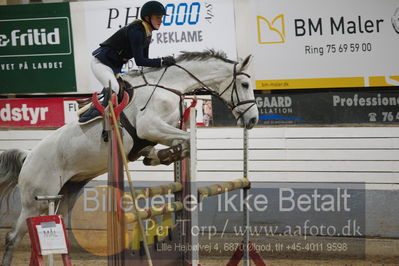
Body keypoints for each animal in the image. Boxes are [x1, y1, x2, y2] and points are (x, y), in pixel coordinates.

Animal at [0, 50, 258, 266]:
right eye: (245, 84)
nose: (253, 120)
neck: (170, 86)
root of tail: (29, 156)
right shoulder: (150, 126)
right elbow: (187, 138)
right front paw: (178, 154)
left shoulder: (157, 133)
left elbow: (175, 143)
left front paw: (162, 156)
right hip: (37, 200)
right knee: (13, 236)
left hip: (66, 194)